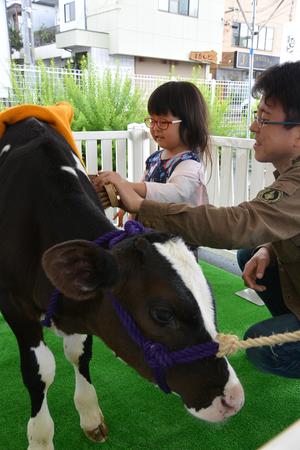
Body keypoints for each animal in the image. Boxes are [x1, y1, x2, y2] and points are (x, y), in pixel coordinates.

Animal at [0, 118, 244, 448]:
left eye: (210, 301)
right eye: (162, 314)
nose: (233, 398)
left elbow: (78, 353)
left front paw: (90, 414)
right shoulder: (15, 307)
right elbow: (39, 372)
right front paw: (40, 438)